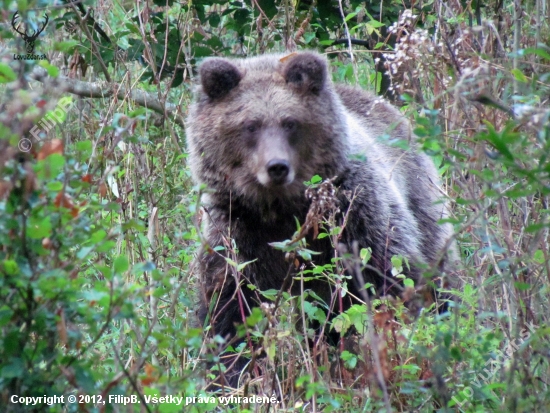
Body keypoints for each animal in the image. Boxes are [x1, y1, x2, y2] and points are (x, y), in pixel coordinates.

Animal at [187, 50, 458, 386]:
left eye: (290, 122)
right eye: (250, 125)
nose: (277, 166)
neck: (281, 208)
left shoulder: (353, 215)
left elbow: (388, 279)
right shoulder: (237, 230)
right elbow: (229, 306)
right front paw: (232, 372)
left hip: (420, 195)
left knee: (437, 270)